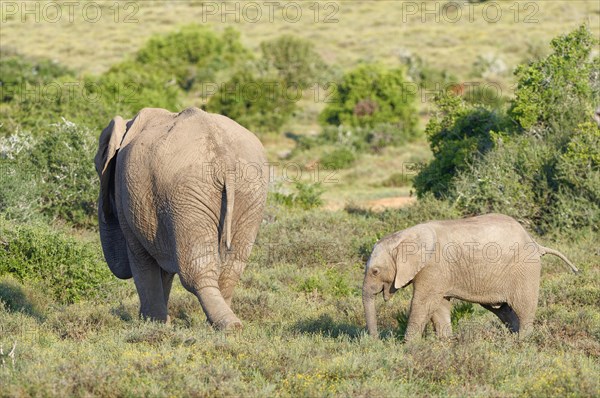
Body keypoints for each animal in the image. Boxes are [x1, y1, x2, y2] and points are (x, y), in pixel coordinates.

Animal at [94, 106, 268, 330]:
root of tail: (224, 159)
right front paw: (160, 323)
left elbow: (141, 257)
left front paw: (152, 323)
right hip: (249, 192)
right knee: (231, 270)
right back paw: (226, 323)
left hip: (187, 193)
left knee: (196, 271)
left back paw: (228, 326)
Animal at [364, 213, 580, 340]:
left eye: (375, 271)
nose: (376, 342)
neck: (404, 236)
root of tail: (536, 243)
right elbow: (439, 307)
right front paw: (444, 346)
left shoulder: (433, 268)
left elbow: (423, 303)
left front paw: (410, 349)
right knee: (503, 309)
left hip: (525, 270)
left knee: (523, 308)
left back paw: (522, 343)